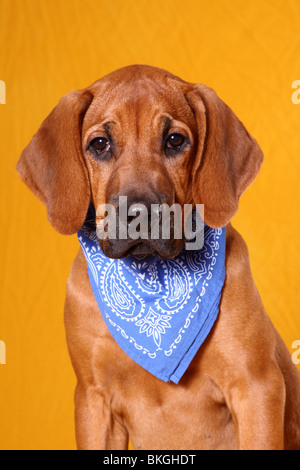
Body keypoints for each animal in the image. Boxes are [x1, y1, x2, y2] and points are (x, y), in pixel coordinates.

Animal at [16, 64, 300, 450]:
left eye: (175, 140)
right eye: (100, 144)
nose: (138, 213)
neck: (152, 278)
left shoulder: (256, 386)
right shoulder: (92, 399)